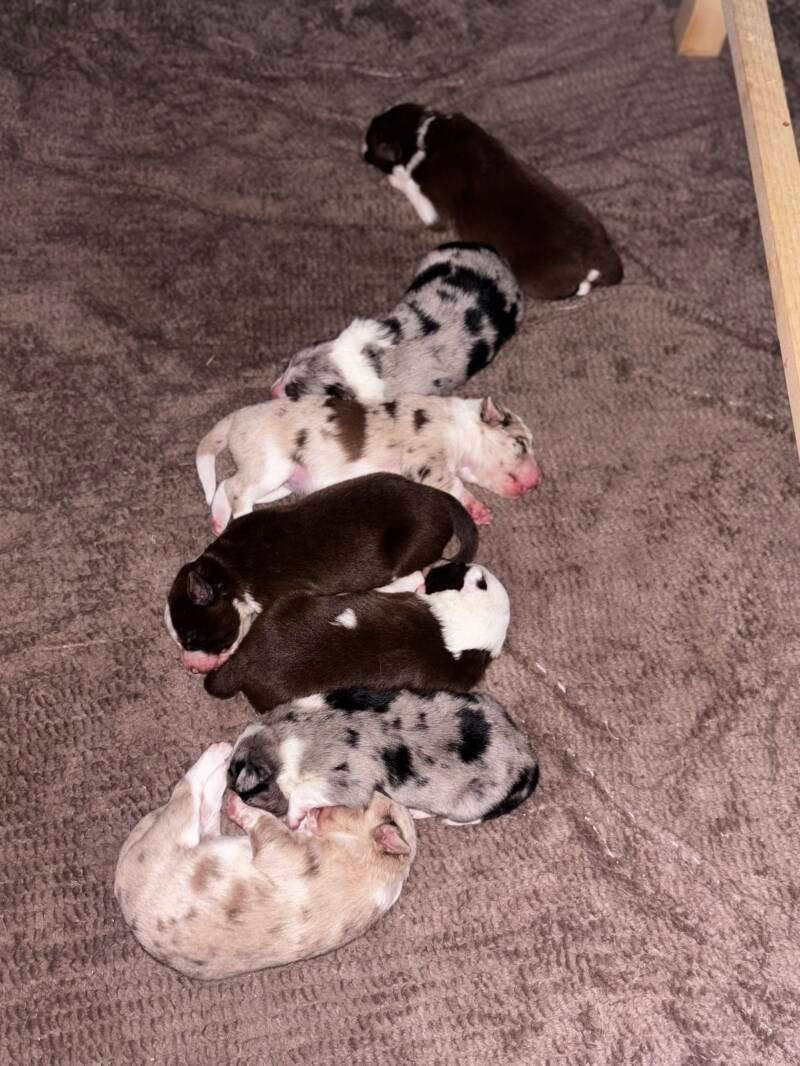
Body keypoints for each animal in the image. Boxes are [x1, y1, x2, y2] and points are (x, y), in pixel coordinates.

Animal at [114, 743, 416, 980]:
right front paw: (305, 817)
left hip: (177, 830)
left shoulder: (281, 848)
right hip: (203, 836)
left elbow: (263, 820)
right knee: (206, 812)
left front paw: (240, 806)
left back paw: (219, 754)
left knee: (188, 790)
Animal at [165, 473, 477, 674]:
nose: (190, 667)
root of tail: (438, 498)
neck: (224, 570)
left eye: (192, 637)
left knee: (411, 577)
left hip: (405, 552)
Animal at [196, 392, 540, 533]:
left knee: (226, 484)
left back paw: (218, 521)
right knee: (237, 490)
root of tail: (234, 419)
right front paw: (478, 509)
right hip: (270, 467)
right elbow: (454, 485)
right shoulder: (426, 462)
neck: (459, 426)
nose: (538, 481)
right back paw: (240, 519)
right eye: (522, 444)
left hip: (278, 483)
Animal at [228, 686, 539, 830]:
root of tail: (528, 757)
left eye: (246, 793)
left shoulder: (349, 784)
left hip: (467, 803)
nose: (232, 794)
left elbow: (301, 793)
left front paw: (292, 821)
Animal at [362, 103, 623, 300]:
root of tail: (595, 251)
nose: (361, 151)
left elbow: (413, 190)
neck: (420, 133)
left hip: (534, 277)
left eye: (371, 141)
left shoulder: (433, 208)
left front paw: (395, 177)